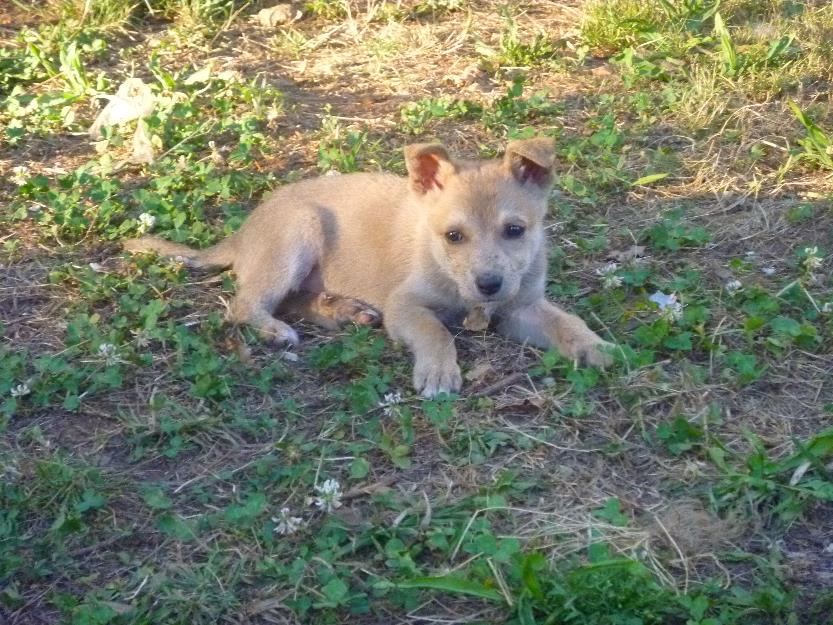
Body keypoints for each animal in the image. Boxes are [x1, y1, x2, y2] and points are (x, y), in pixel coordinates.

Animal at [127, 140, 616, 398]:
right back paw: (276, 331)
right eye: (453, 236)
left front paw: (597, 347)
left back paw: (345, 311)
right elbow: (435, 332)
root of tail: (242, 232)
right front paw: (438, 372)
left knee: (295, 300)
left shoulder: (523, 307)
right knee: (244, 304)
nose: (489, 285)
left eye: (515, 230)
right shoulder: (405, 306)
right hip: (298, 233)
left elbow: (568, 323)